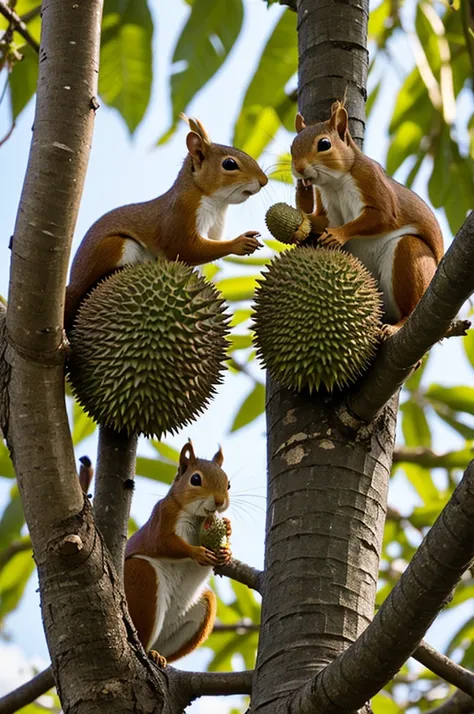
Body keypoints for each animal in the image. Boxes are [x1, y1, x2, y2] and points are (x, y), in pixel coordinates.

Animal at [65, 116, 268, 328]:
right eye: (229, 164)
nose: (264, 181)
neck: (215, 202)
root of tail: (74, 284)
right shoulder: (182, 211)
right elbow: (184, 248)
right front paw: (239, 243)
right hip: (115, 246)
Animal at [124, 436, 231, 664]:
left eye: (228, 484)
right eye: (195, 479)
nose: (220, 502)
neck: (197, 516)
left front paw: (228, 543)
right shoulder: (163, 517)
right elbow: (164, 543)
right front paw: (197, 553)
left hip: (202, 611)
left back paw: (158, 655)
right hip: (142, 577)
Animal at [288, 101, 444, 336]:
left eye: (324, 144)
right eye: (292, 147)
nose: (298, 169)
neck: (335, 183)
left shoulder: (370, 180)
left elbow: (381, 216)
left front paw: (337, 235)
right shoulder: (326, 202)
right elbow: (322, 221)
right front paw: (302, 218)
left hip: (410, 256)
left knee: (409, 306)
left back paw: (396, 326)